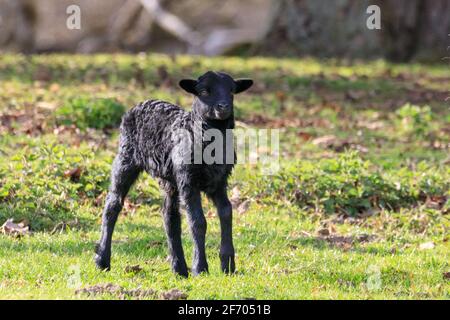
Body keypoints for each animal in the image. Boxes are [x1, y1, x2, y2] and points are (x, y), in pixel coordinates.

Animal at [94, 71, 253, 276]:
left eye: (232, 91)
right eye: (203, 91)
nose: (223, 107)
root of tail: (141, 103)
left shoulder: (219, 181)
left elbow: (226, 213)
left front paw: (228, 265)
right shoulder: (188, 180)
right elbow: (198, 221)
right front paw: (200, 267)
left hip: (170, 179)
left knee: (170, 217)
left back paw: (179, 269)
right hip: (126, 158)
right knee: (112, 205)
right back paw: (102, 260)